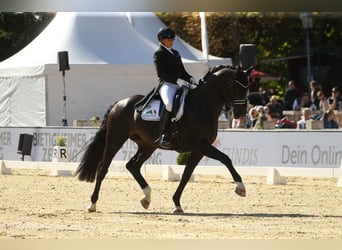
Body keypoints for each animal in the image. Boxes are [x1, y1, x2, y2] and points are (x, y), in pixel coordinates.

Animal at [76, 65, 254, 214]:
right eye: (237, 87)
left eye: (247, 88)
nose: (241, 116)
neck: (202, 106)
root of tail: (119, 103)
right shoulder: (200, 145)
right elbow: (226, 158)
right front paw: (241, 187)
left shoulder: (199, 149)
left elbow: (186, 175)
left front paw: (177, 204)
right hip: (116, 139)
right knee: (103, 169)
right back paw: (92, 204)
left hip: (147, 145)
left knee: (132, 166)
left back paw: (146, 198)